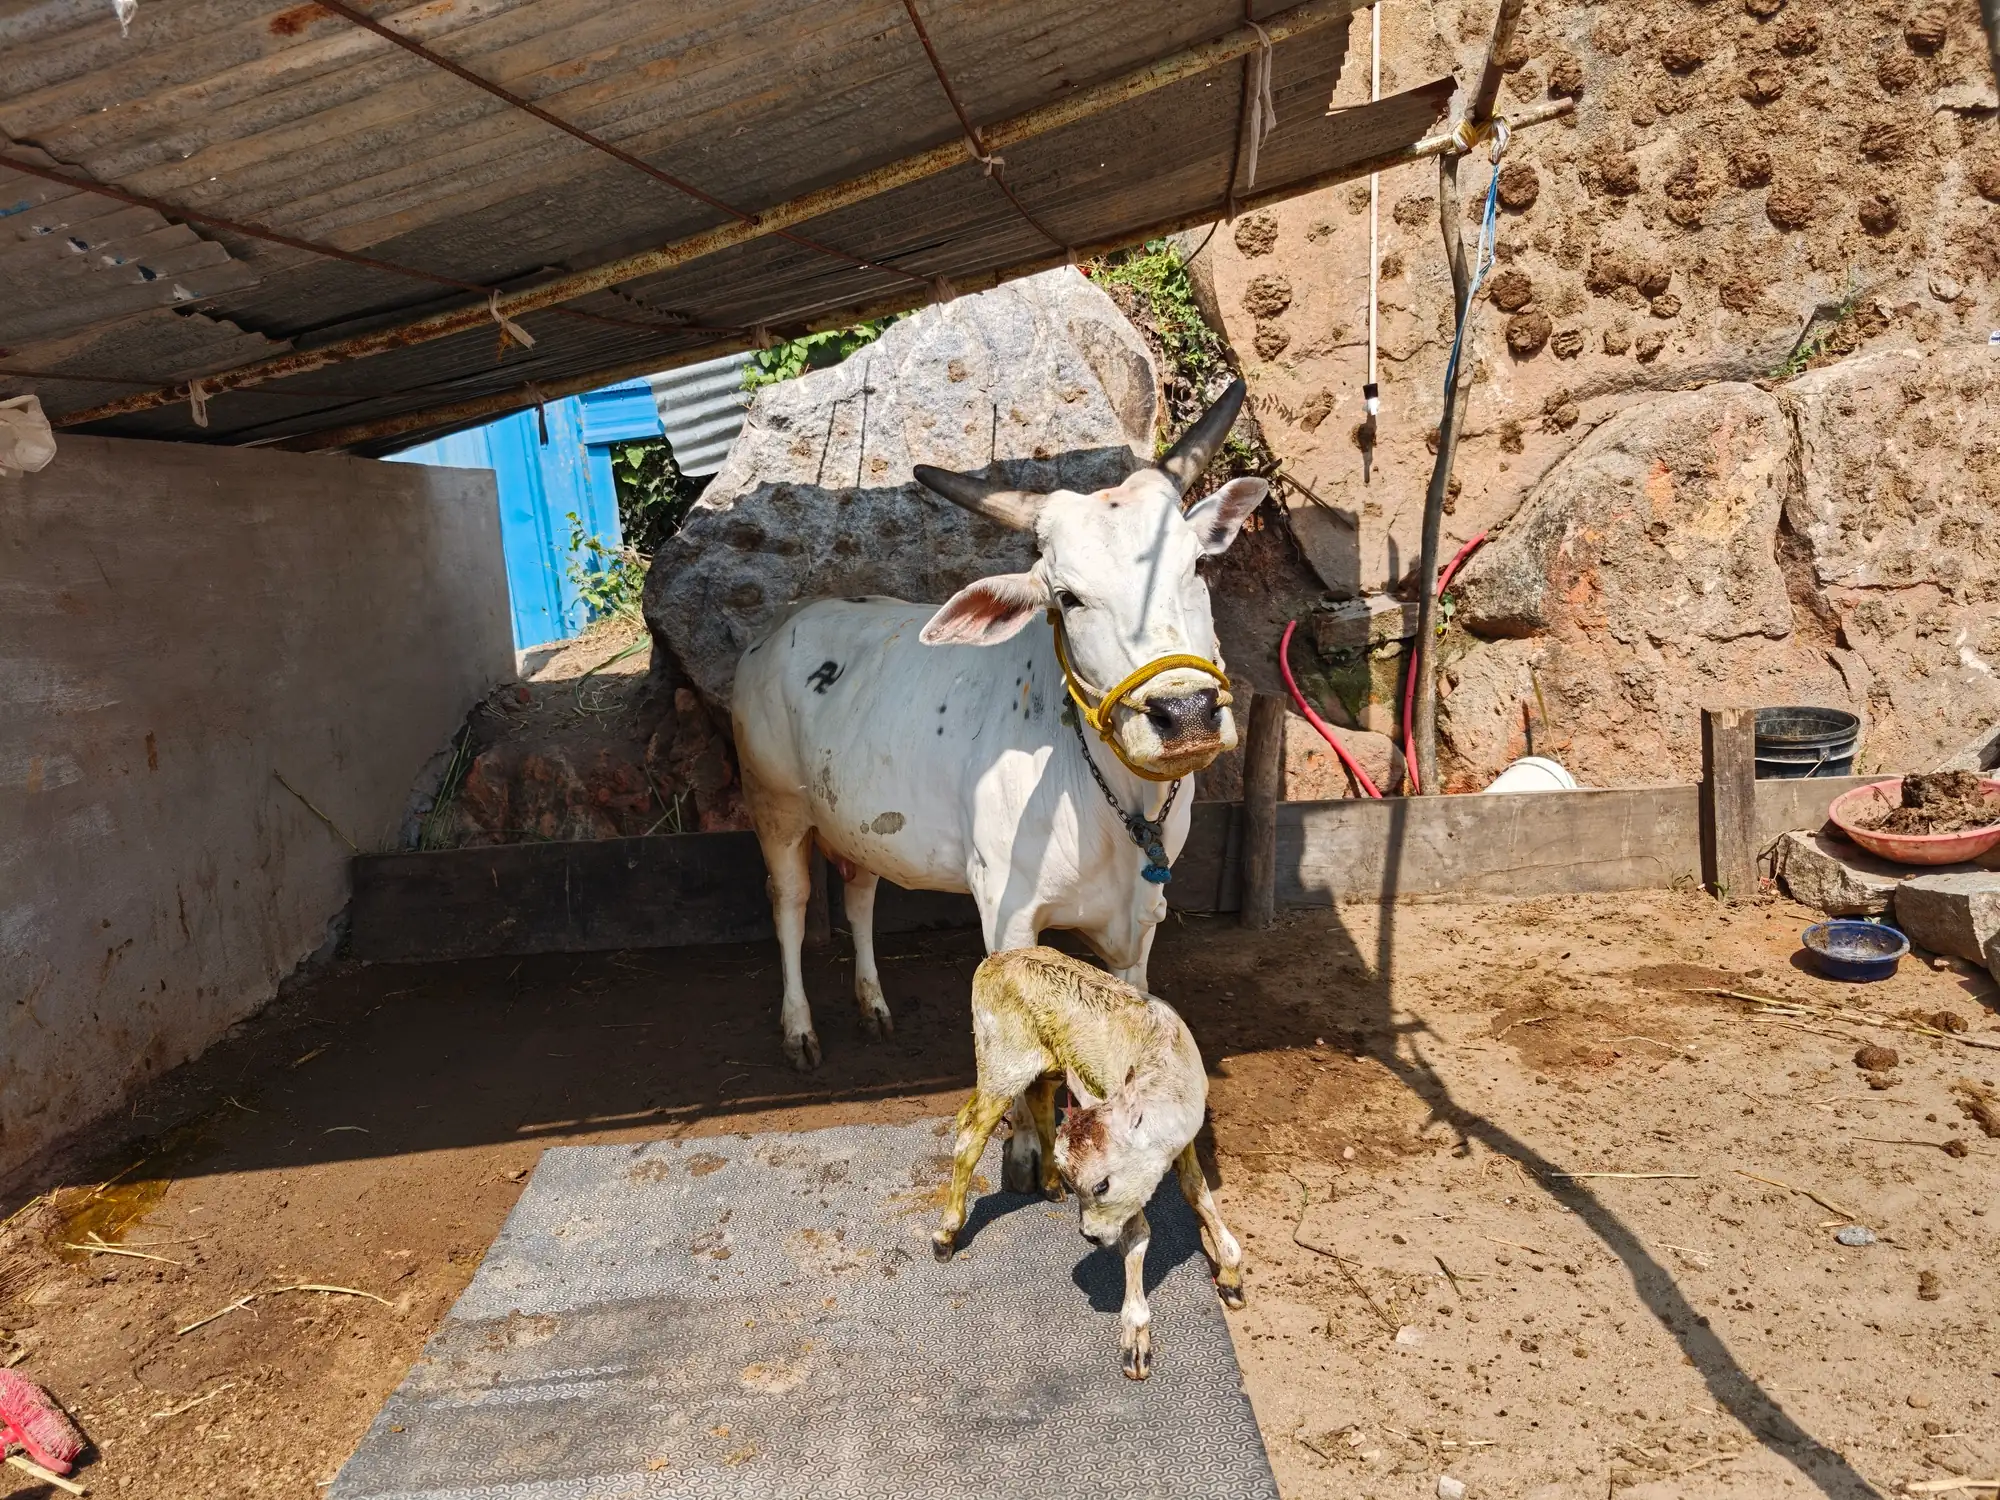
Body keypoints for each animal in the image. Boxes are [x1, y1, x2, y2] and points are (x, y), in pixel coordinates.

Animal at [731, 380, 1264, 1188]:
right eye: (1068, 597)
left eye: (1196, 567)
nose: (1186, 712)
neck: (1111, 805)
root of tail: (779, 625)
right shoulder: (1006, 917)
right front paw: (1021, 1152)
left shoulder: (1142, 923)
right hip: (777, 810)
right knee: (789, 906)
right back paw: (800, 1029)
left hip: (858, 820)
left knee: (859, 897)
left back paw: (873, 1004)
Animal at [929, 945, 1245, 1380]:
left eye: (1101, 1185)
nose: (1089, 1236)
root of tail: (996, 959)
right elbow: (1138, 1233)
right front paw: (1136, 1335)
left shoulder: (1183, 1140)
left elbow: (1196, 1192)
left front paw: (1230, 1275)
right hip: (1001, 1059)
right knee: (969, 1137)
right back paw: (945, 1234)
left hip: (1045, 1062)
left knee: (1034, 1102)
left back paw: (1048, 1184)